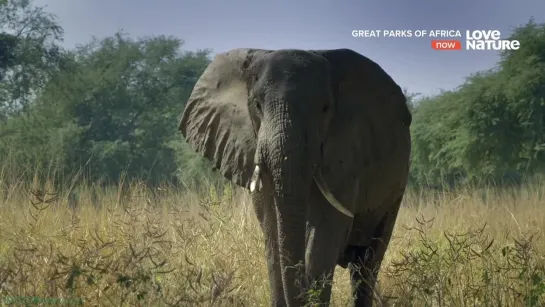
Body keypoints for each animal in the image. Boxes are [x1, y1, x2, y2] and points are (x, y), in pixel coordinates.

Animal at [180, 48, 412, 307]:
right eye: (257, 105)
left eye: (325, 109)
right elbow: (272, 230)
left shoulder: (346, 154)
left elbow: (325, 229)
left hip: (396, 189)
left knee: (367, 263)